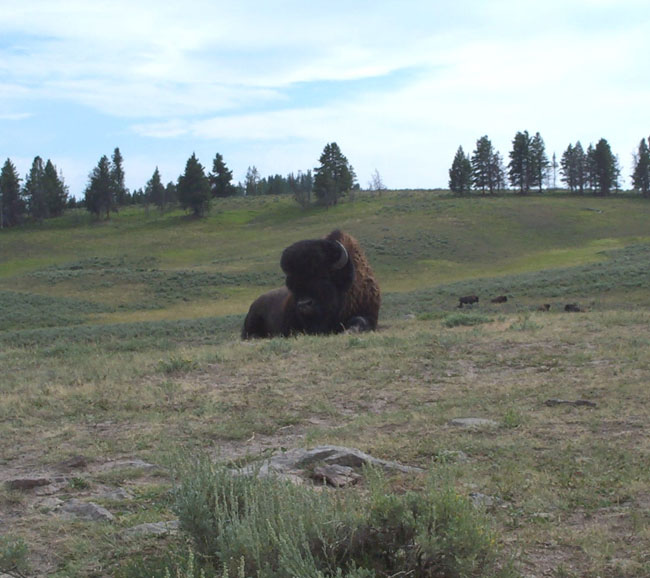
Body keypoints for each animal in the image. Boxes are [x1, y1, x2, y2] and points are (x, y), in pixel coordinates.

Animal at [242, 230, 381, 339]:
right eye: (292, 282)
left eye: (324, 277)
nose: (304, 304)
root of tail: (254, 303)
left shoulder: (370, 314)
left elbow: (359, 320)